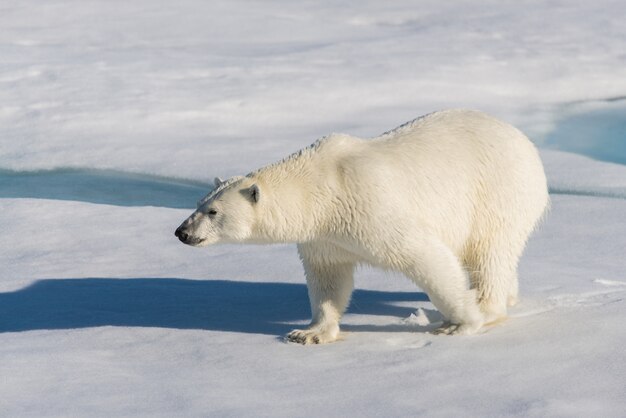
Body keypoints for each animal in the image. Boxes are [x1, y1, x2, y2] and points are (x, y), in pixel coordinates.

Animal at [174, 109, 544, 344]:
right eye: (197, 203)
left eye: (213, 211)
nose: (182, 232)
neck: (321, 187)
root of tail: (525, 141)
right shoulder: (323, 235)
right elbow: (328, 277)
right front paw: (309, 333)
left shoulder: (370, 206)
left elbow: (426, 257)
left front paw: (461, 323)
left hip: (497, 192)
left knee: (489, 251)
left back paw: (489, 306)